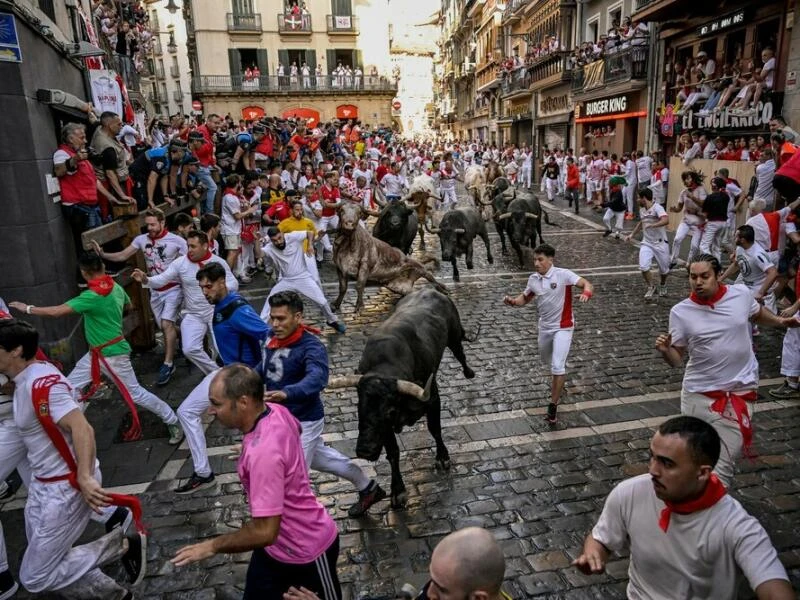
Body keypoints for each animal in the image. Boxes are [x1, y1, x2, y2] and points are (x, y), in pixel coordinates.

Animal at [324, 288, 476, 508]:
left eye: (389, 410)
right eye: (360, 407)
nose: (364, 451)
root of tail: (431, 290)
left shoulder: (433, 399)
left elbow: (435, 429)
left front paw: (443, 457)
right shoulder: (385, 428)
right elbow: (393, 452)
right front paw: (398, 490)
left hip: (454, 337)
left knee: (461, 354)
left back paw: (469, 372)